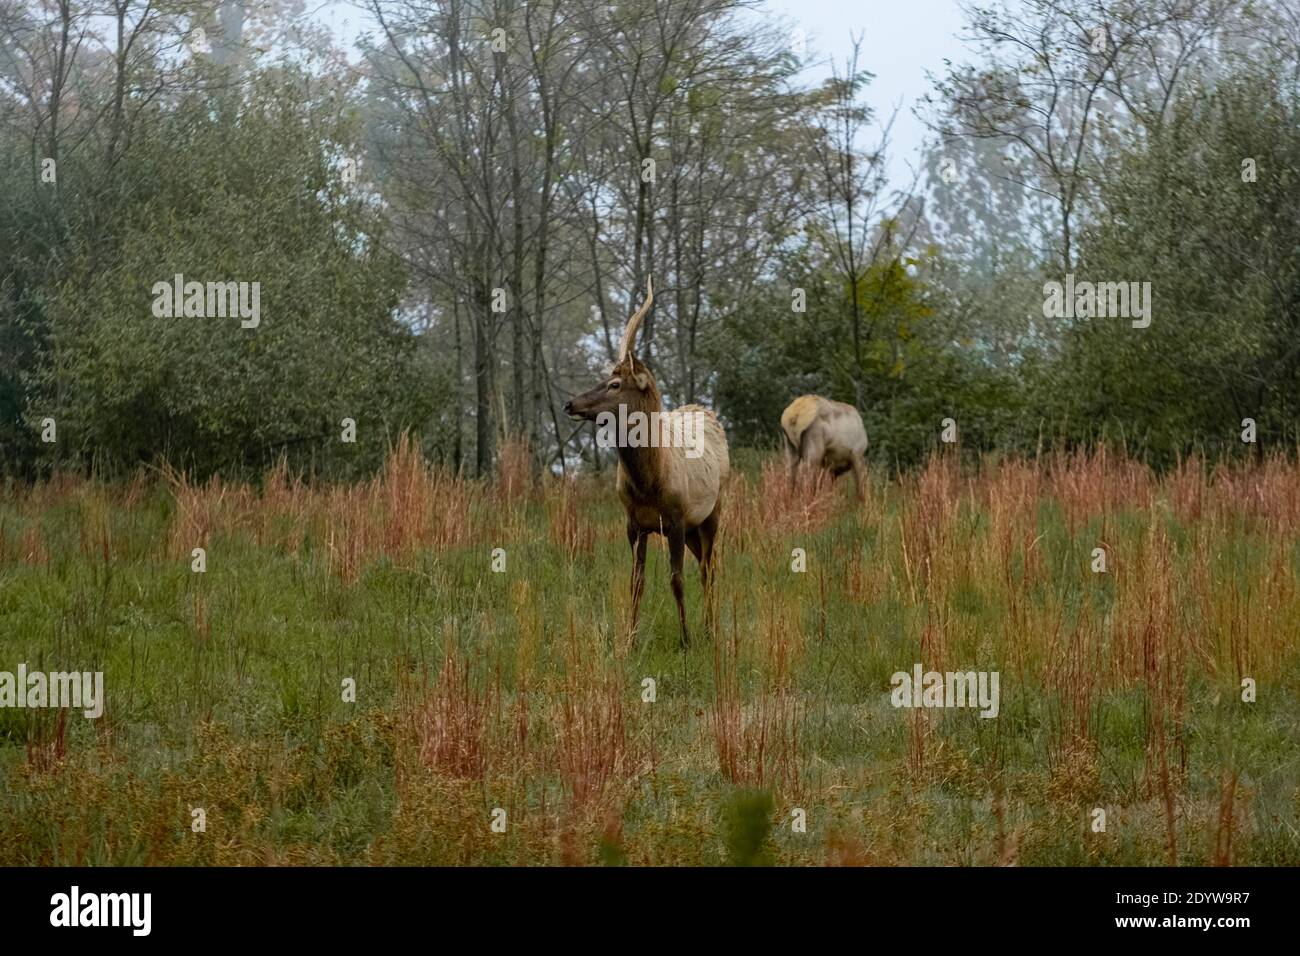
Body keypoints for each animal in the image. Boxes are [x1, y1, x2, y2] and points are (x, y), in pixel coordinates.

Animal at [564, 277, 729, 648]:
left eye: (614, 383)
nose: (570, 403)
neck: (649, 481)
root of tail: (706, 411)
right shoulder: (634, 523)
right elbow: (635, 582)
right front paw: (629, 639)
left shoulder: (677, 519)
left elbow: (676, 580)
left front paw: (686, 640)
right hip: (695, 527)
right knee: (706, 566)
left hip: (713, 512)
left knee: (710, 569)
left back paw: (711, 629)